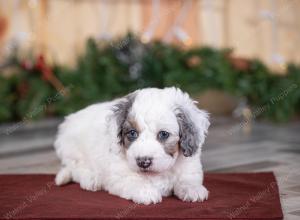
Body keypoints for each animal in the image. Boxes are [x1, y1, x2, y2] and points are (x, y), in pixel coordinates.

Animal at [55, 86, 211, 205]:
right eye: (132, 133)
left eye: (163, 134)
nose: (143, 162)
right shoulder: (118, 174)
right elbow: (133, 180)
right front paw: (146, 192)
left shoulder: (189, 166)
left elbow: (188, 178)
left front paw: (193, 189)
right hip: (73, 151)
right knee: (76, 169)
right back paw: (91, 179)